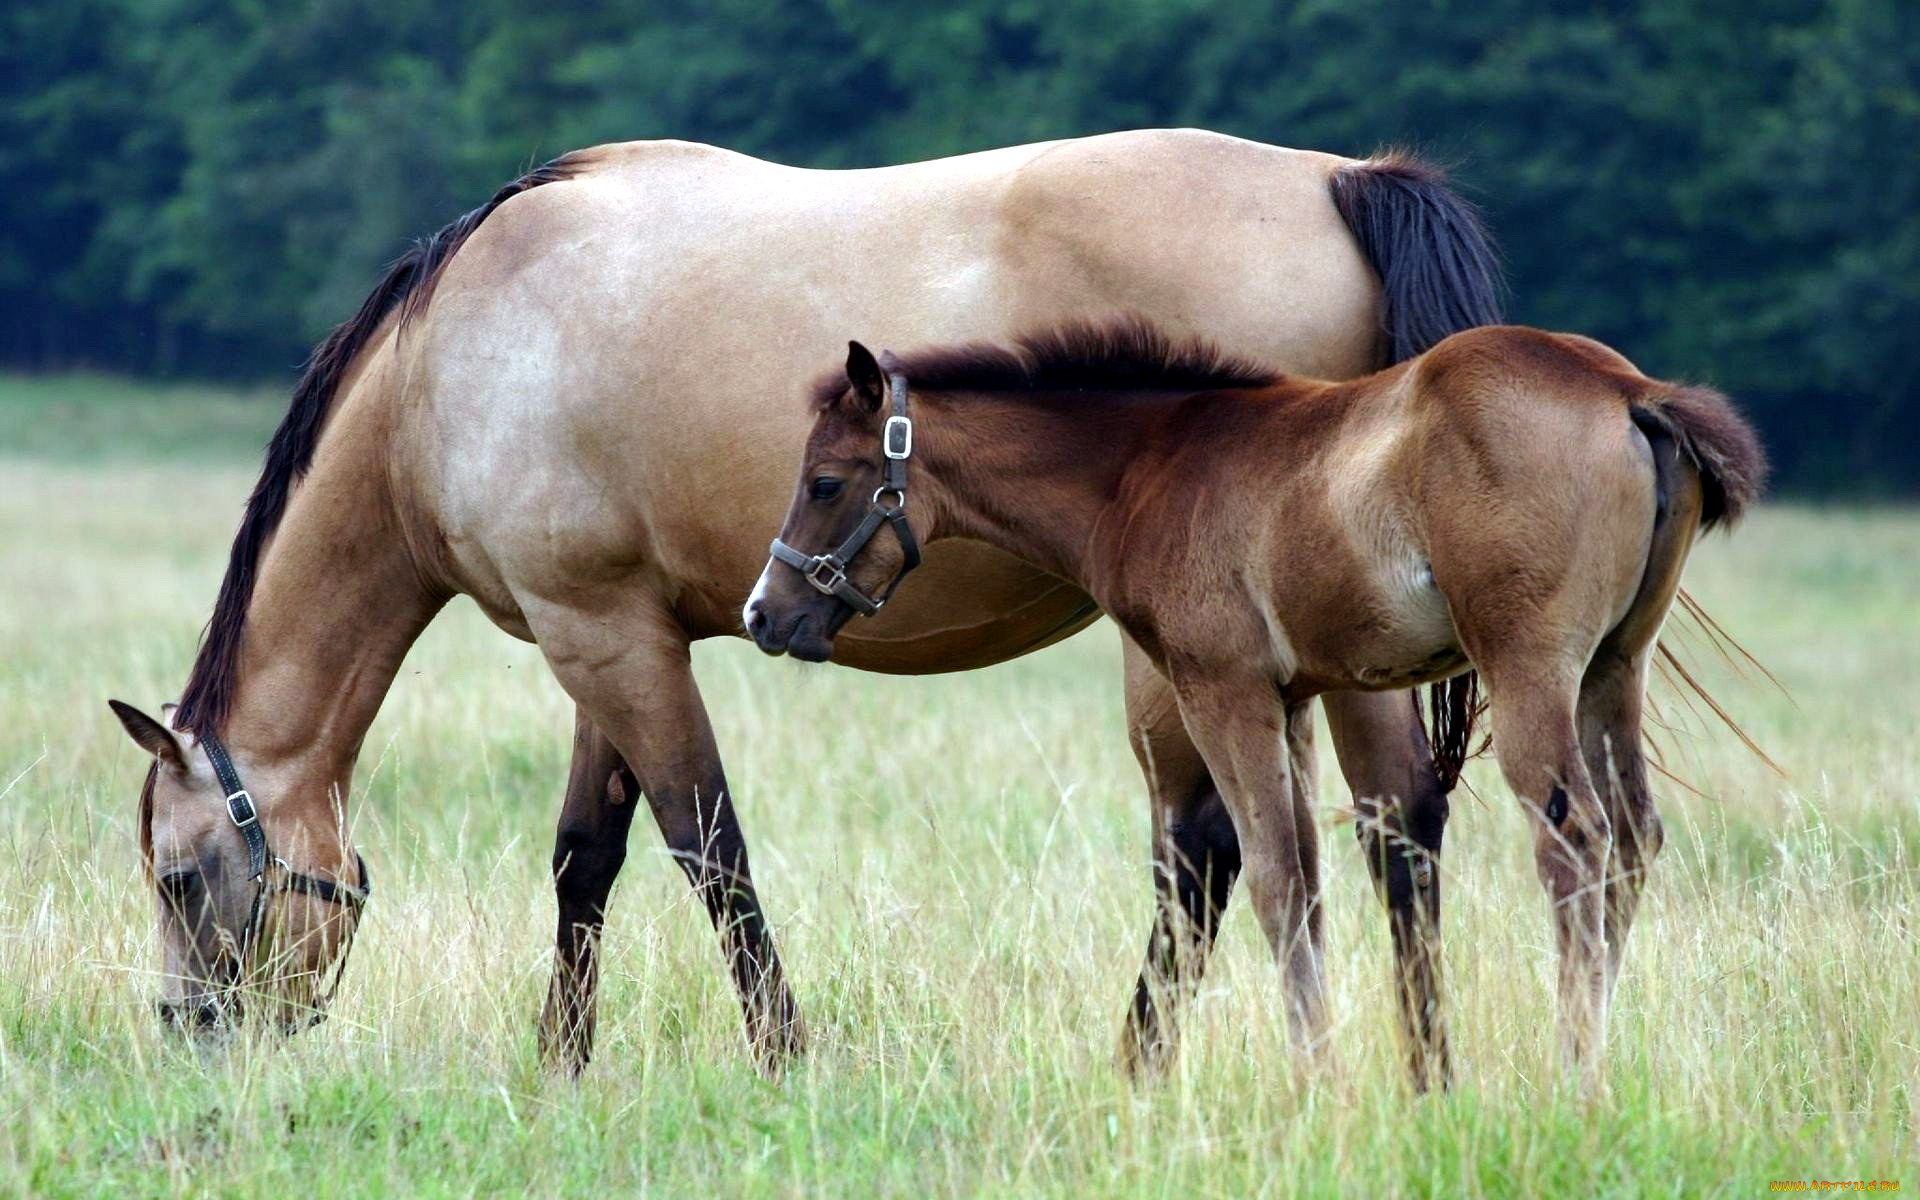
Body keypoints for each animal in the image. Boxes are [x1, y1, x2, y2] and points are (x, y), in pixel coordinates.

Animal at [108, 130, 1497, 1082]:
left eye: (178, 879)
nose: (188, 1034)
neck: (447, 366)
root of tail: (1341, 180)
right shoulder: (613, 633)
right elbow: (586, 855)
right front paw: (561, 1062)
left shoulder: (599, 637)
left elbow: (706, 849)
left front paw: (783, 1054)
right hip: (1335, 651)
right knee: (1394, 828)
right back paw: (1422, 1070)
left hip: (1198, 659)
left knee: (1210, 852)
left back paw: (1144, 1066)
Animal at [744, 318, 1758, 1082]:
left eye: (824, 482)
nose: (766, 612)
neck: (1147, 468)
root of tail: (1628, 391)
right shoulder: (1295, 697)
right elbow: (1306, 875)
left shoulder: (1220, 689)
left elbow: (1274, 878)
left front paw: (1317, 1082)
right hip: (1612, 670)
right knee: (1633, 837)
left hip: (1530, 670)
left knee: (1575, 839)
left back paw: (1573, 1072)